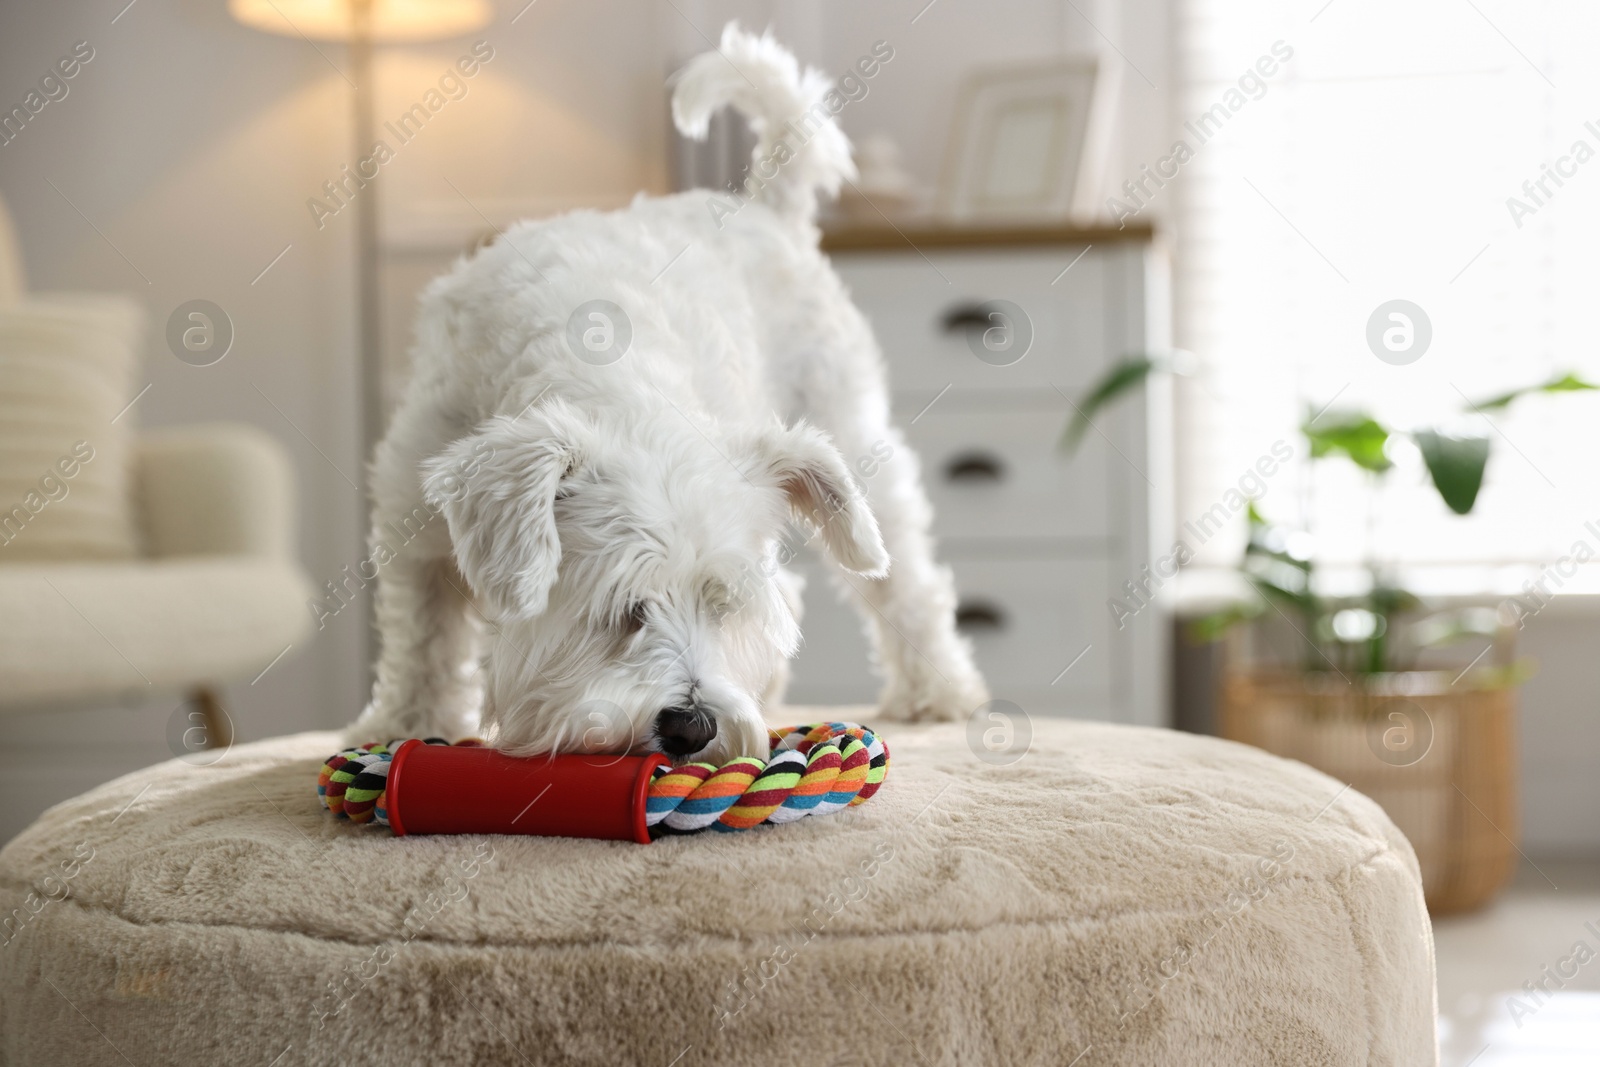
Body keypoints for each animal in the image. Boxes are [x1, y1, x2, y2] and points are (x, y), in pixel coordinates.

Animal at [358, 22, 985, 758]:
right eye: (625, 608)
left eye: (725, 608)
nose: (693, 725)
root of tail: (767, 210)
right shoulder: (413, 516)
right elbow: (424, 635)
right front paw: (406, 725)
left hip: (855, 443)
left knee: (907, 583)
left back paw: (938, 690)